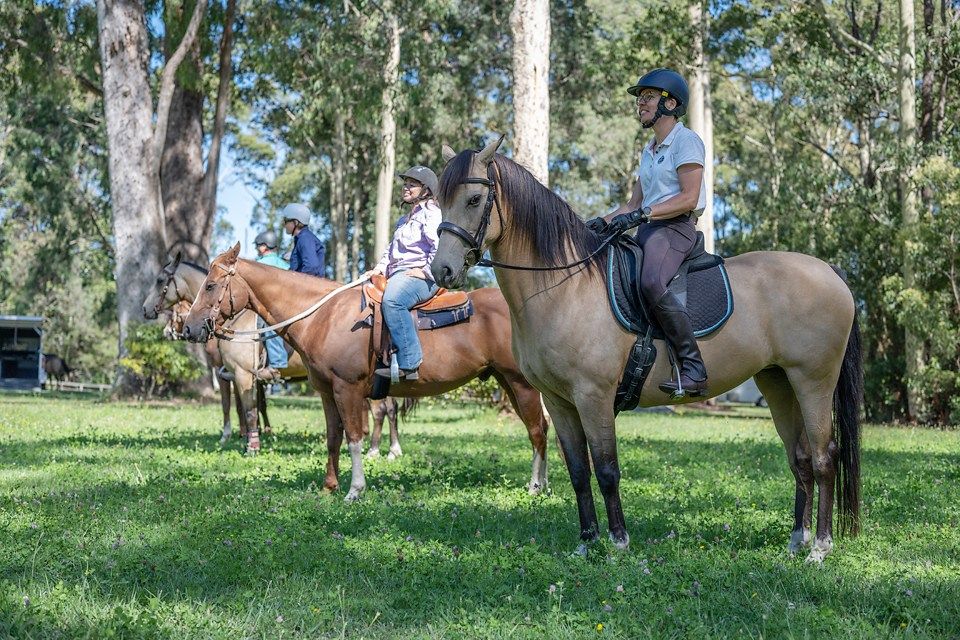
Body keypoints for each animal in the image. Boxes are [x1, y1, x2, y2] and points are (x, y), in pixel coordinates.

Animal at [181, 244, 552, 500]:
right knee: (541, 427)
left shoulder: (347, 388)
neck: (323, 315)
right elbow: (333, 437)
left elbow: (354, 437)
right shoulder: (326, 391)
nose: (188, 328)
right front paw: (329, 486)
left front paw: (354, 489)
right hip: (506, 381)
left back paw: (536, 486)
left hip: (520, 382)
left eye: (211, 285)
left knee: (537, 430)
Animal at [432, 138, 868, 564]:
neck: (564, 286)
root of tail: (831, 271)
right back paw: (797, 542)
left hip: (813, 381)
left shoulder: (593, 396)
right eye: (439, 198)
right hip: (779, 383)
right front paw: (586, 543)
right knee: (801, 458)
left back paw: (820, 548)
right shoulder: (559, 401)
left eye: (474, 199)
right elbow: (578, 472)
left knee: (824, 456)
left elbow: (607, 470)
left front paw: (618, 543)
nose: (442, 272)